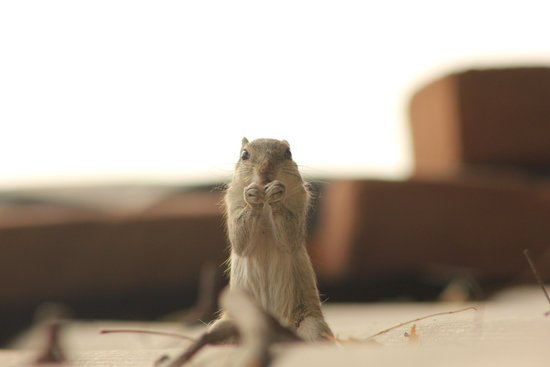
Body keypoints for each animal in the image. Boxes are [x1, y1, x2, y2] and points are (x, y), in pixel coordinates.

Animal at [210, 137, 332, 342]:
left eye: (288, 153)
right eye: (244, 154)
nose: (265, 171)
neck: (265, 206)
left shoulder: (300, 203)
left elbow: (291, 239)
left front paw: (277, 194)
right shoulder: (233, 202)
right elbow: (239, 241)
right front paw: (252, 196)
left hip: (313, 326)